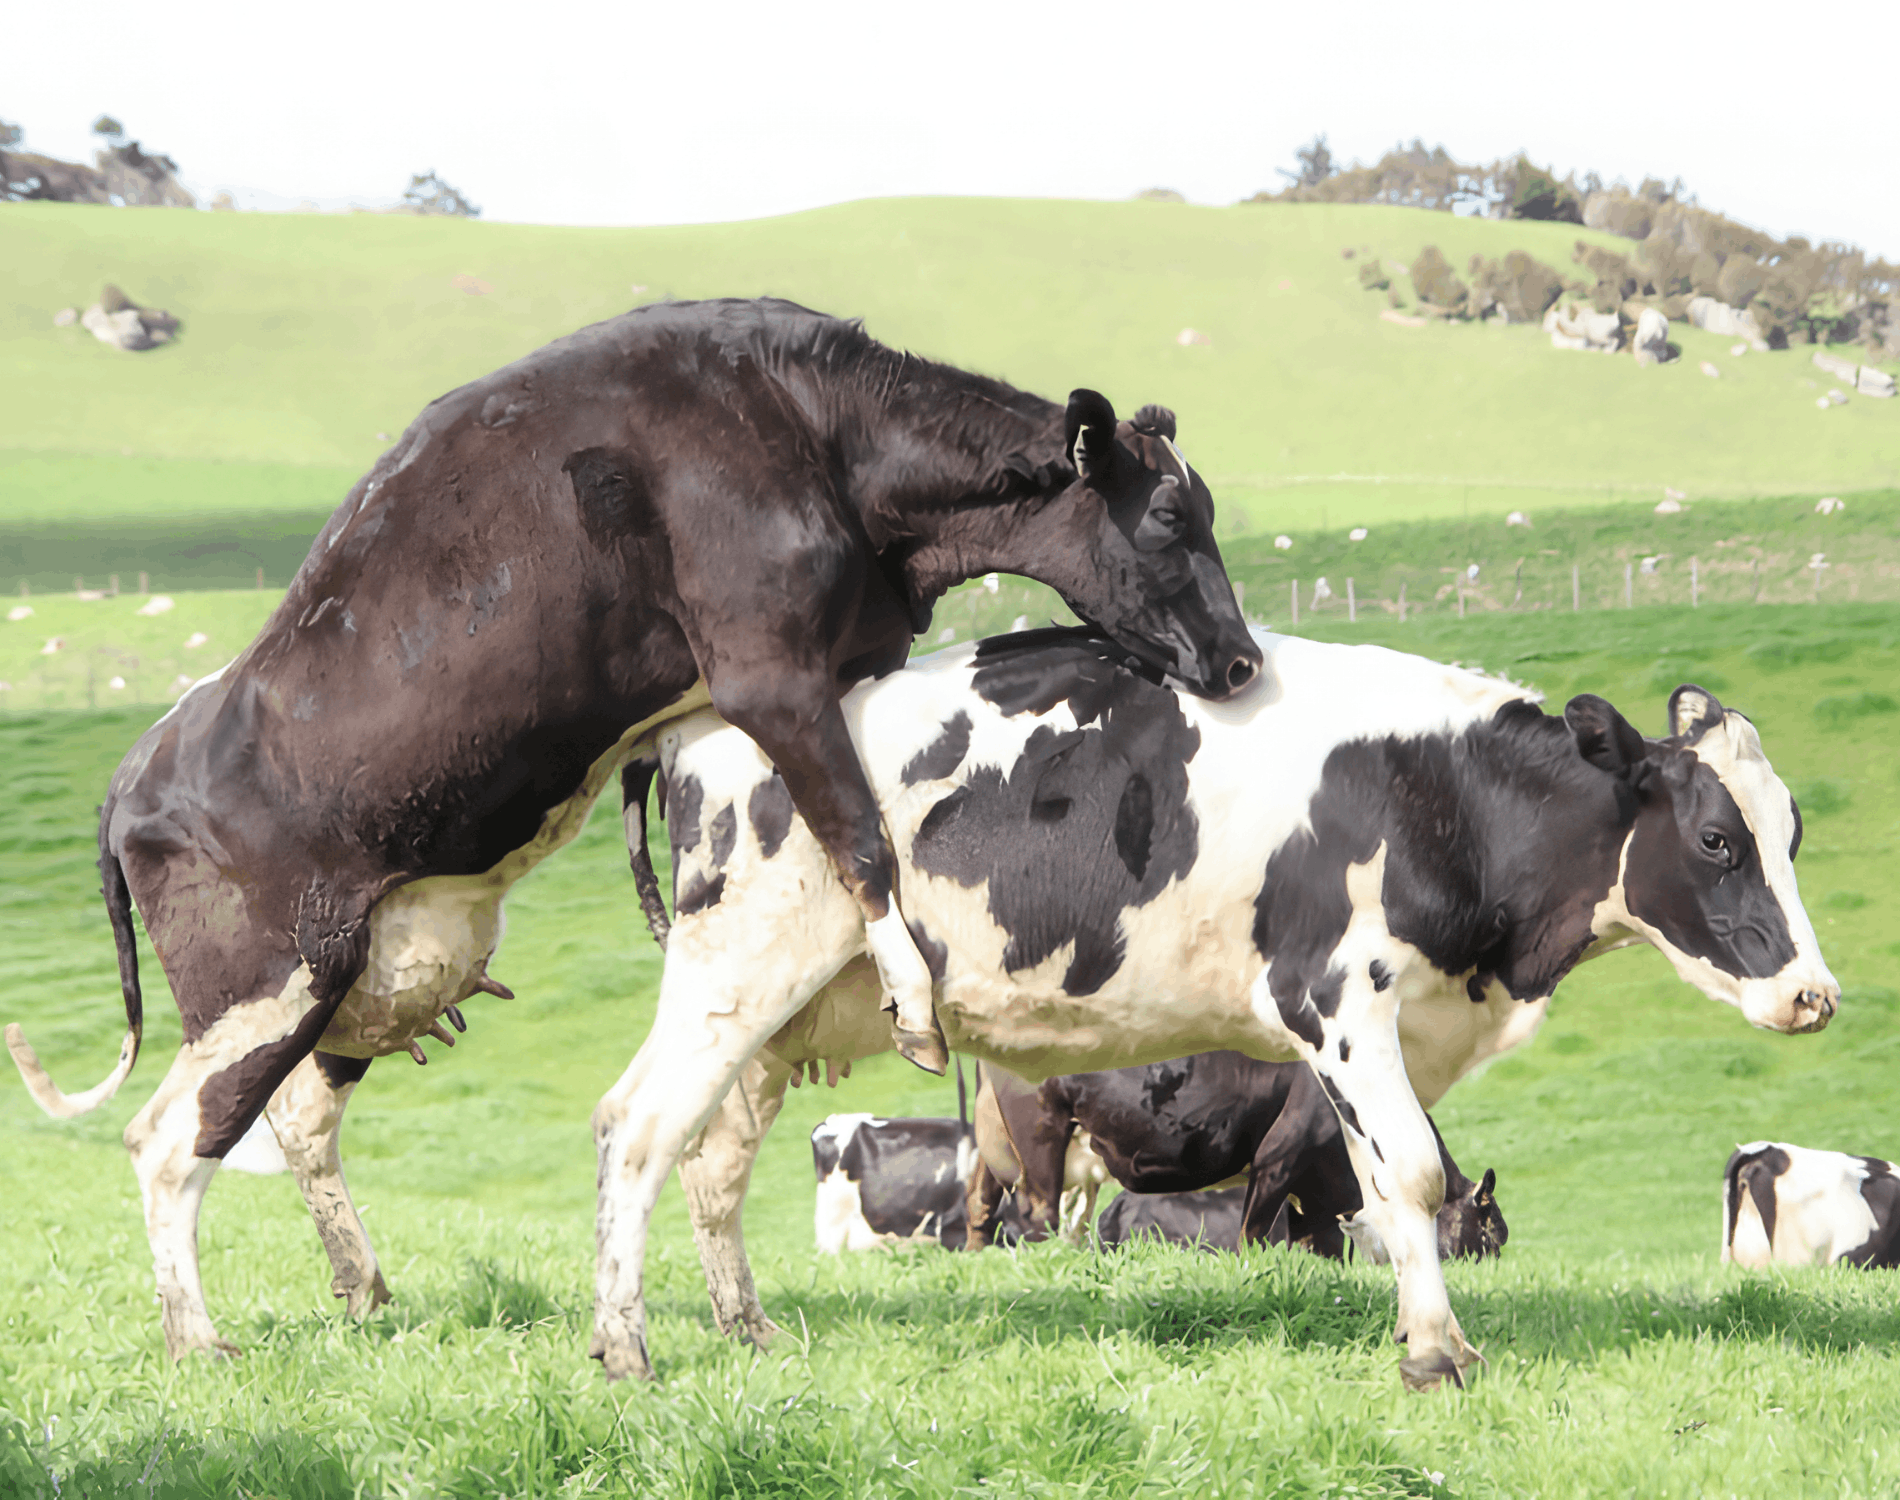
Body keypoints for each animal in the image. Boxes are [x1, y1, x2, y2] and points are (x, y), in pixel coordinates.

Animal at [5, 298, 1258, 1364]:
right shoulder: (767, 672)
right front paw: (908, 995)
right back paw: (198, 1338)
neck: (814, 432)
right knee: (167, 1139)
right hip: (265, 985)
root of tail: (137, 768)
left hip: (351, 974)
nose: (1243, 659)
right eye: (1166, 516)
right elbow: (859, 836)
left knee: (302, 1118)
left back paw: (359, 1287)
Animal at [965, 1054, 1505, 1262]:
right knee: (1037, 1213)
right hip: (1042, 1138)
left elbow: (1323, 1251)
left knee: (980, 1204)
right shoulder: (1278, 1159)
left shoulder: (1319, 1196)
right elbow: (1253, 1234)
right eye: (1490, 1234)